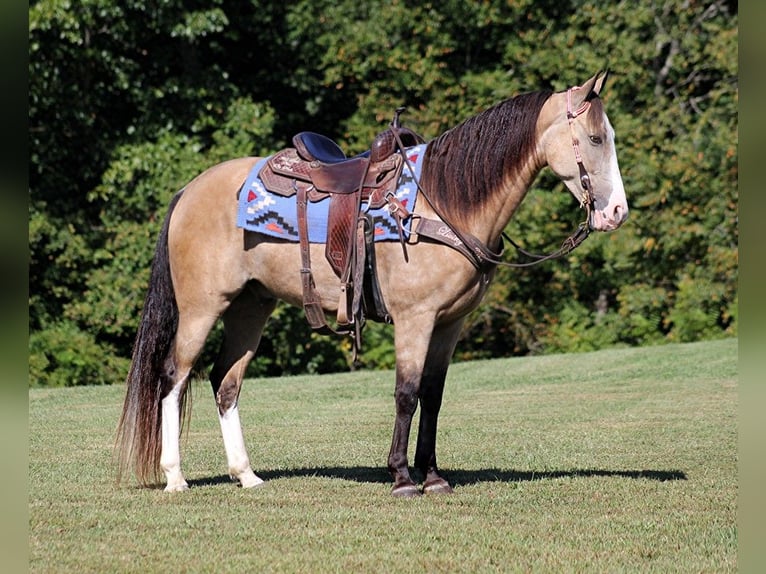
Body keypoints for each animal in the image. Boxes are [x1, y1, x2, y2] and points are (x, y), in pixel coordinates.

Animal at [115, 70, 632, 498]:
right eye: (594, 138)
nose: (616, 212)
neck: (443, 201)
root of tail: (189, 190)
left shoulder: (449, 325)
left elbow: (432, 396)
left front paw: (434, 476)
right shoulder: (414, 319)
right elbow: (406, 393)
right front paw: (402, 477)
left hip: (250, 308)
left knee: (226, 382)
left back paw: (246, 475)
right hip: (201, 308)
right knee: (173, 377)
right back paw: (175, 478)